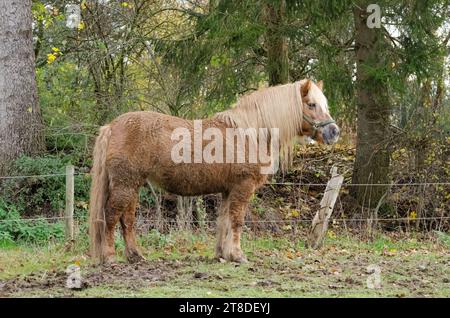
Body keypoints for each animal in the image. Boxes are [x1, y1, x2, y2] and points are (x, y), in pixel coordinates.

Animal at [89, 79, 340, 264]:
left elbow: (224, 221)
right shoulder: (242, 187)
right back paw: (110, 257)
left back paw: (136, 256)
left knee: (127, 220)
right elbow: (237, 221)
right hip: (125, 184)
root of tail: (112, 126)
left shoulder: (228, 190)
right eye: (311, 104)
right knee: (111, 217)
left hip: (132, 185)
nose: (334, 132)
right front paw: (237, 255)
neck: (251, 132)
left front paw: (222, 254)